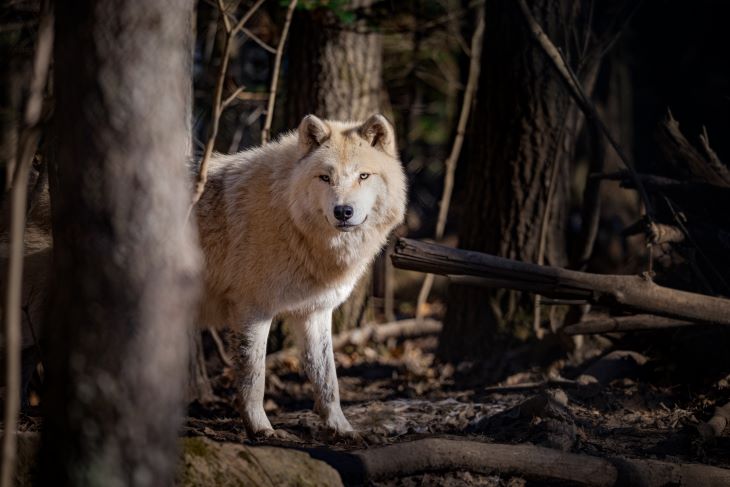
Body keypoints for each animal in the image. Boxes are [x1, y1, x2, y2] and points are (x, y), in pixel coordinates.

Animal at [195, 114, 407, 437]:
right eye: (325, 178)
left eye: (363, 176)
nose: (343, 211)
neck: (288, 217)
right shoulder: (252, 310)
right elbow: (254, 377)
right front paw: (261, 429)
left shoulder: (314, 312)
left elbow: (328, 380)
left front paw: (341, 428)